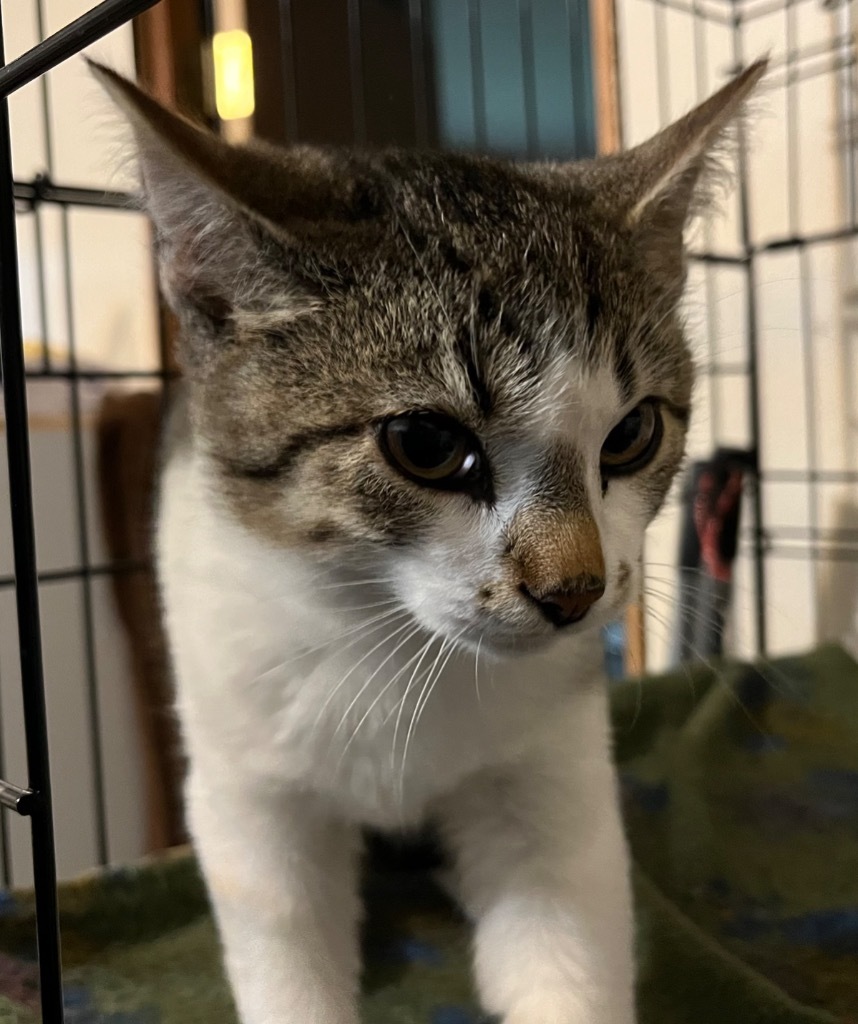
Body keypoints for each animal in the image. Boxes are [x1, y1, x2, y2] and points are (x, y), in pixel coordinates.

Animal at [92, 58, 765, 1024]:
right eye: (426, 444)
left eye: (633, 433)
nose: (574, 592)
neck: (391, 643)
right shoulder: (247, 781)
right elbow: (282, 933)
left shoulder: (548, 764)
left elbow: (563, 928)